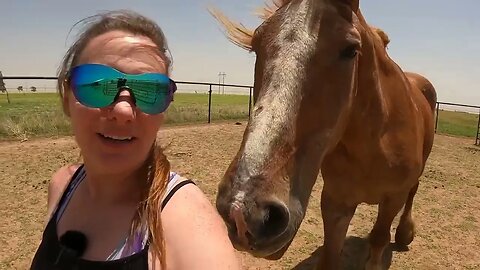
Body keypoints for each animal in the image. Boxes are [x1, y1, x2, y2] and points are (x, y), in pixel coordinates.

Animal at [212, 1, 436, 268]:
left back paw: (404, 234)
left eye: (351, 50)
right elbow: (331, 254)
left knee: (413, 191)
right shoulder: (335, 202)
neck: (374, 145)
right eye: (256, 45)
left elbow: (379, 238)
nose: (242, 212)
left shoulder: (393, 198)